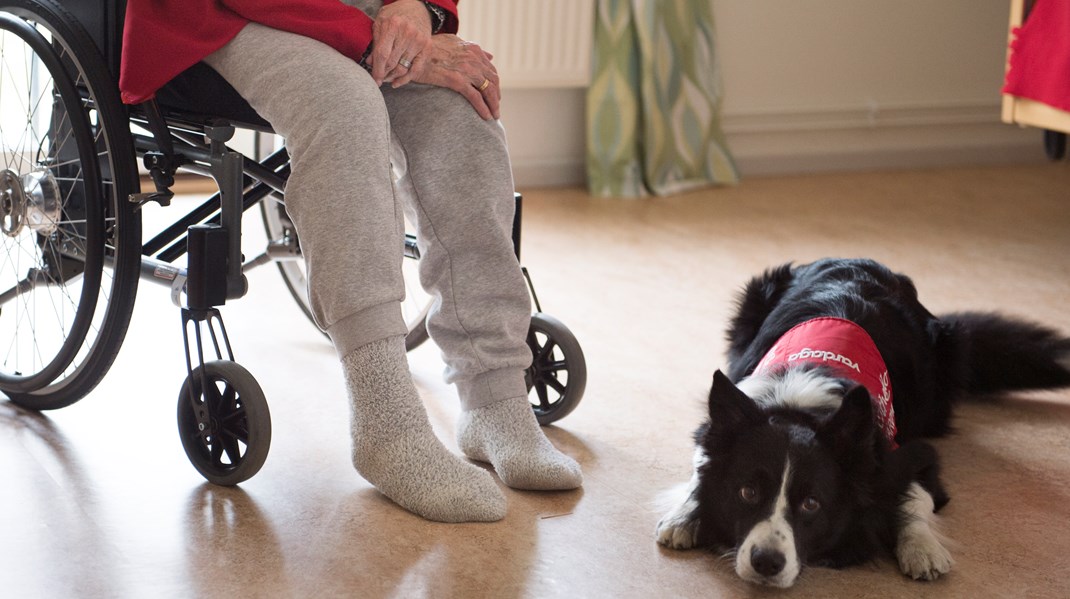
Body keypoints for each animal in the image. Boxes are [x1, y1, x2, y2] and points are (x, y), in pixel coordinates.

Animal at [654, 257, 1065, 586]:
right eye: (748, 493)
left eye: (812, 504)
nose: (766, 563)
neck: (799, 408)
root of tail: (858, 260)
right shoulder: (716, 427)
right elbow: (701, 468)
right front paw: (684, 516)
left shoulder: (910, 455)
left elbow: (915, 497)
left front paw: (922, 548)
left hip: (947, 354)